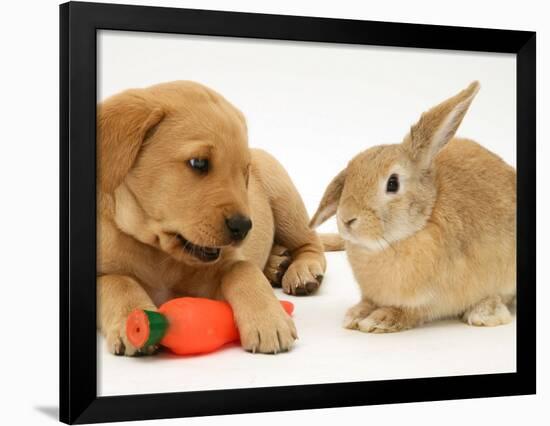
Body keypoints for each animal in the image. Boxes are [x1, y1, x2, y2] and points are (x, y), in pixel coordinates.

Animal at [97, 81, 334, 354]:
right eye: (198, 163)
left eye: (244, 172)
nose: (243, 226)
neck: (158, 253)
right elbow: (118, 281)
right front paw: (130, 320)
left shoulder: (223, 265)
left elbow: (242, 269)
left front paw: (269, 320)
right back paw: (276, 263)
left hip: (283, 195)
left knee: (311, 244)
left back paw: (301, 270)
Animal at [312, 80, 520, 332]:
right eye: (348, 178)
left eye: (393, 183)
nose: (347, 219)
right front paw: (356, 314)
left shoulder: (433, 301)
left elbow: (411, 312)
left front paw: (380, 319)